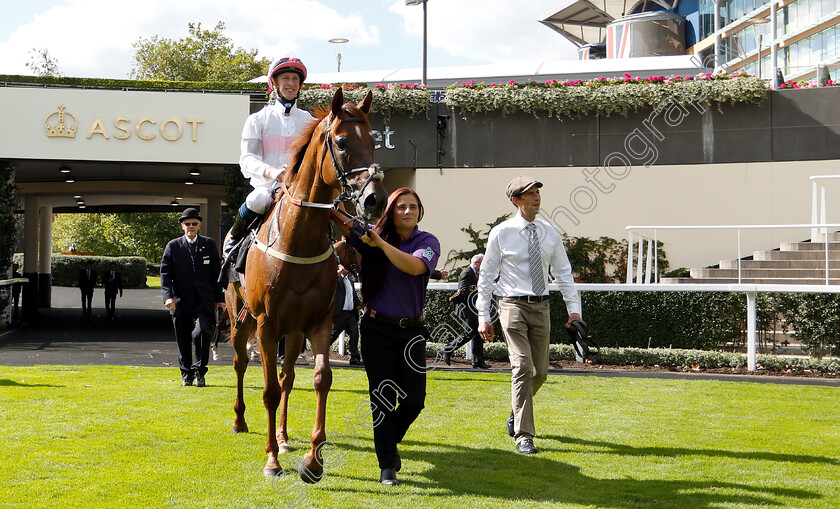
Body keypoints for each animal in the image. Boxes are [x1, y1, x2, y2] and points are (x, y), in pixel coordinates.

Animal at [228, 88, 388, 480]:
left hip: (293, 330)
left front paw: (312, 458)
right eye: (342, 142)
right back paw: (240, 421)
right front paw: (272, 460)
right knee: (240, 362)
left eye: (373, 142)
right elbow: (269, 389)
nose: (374, 199)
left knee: (287, 377)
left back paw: (284, 438)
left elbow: (319, 379)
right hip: (240, 317)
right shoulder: (267, 324)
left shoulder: (317, 322)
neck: (295, 238)